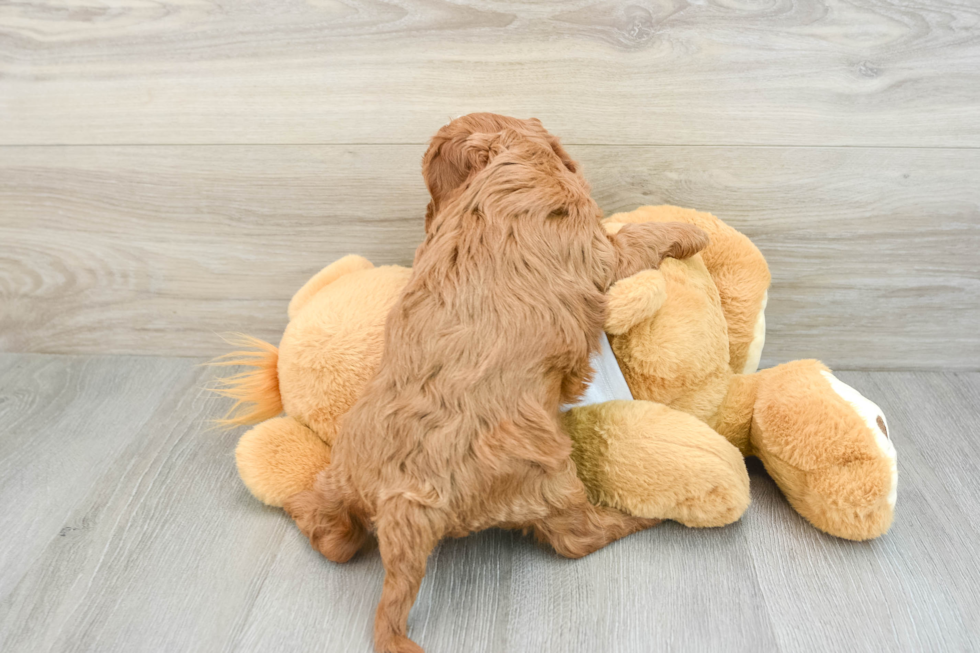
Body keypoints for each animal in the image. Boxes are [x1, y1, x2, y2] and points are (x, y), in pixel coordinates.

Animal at [288, 114, 708, 648]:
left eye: (433, 190)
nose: (426, 220)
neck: (505, 159)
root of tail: (400, 498)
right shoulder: (598, 248)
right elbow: (636, 238)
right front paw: (691, 230)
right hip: (549, 482)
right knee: (577, 537)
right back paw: (640, 518)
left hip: (338, 476)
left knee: (328, 534)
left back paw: (311, 515)